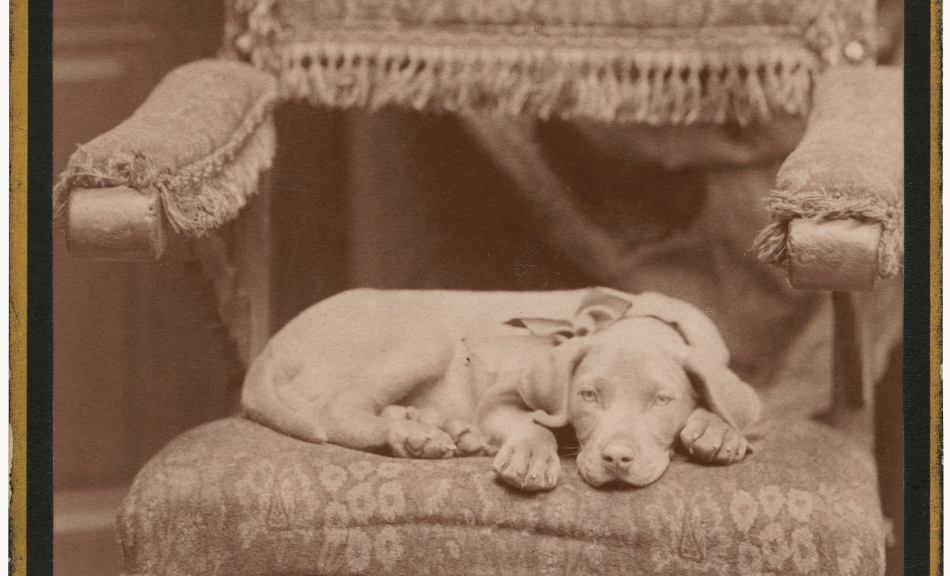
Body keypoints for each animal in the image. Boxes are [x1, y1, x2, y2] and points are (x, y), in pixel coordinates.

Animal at [242, 288, 764, 490]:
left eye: (662, 401)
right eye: (588, 397)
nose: (616, 459)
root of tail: (269, 347)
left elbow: (728, 410)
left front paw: (717, 431)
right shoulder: (502, 399)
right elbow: (535, 425)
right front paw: (531, 456)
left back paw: (438, 429)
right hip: (426, 336)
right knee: (338, 410)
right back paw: (415, 437)